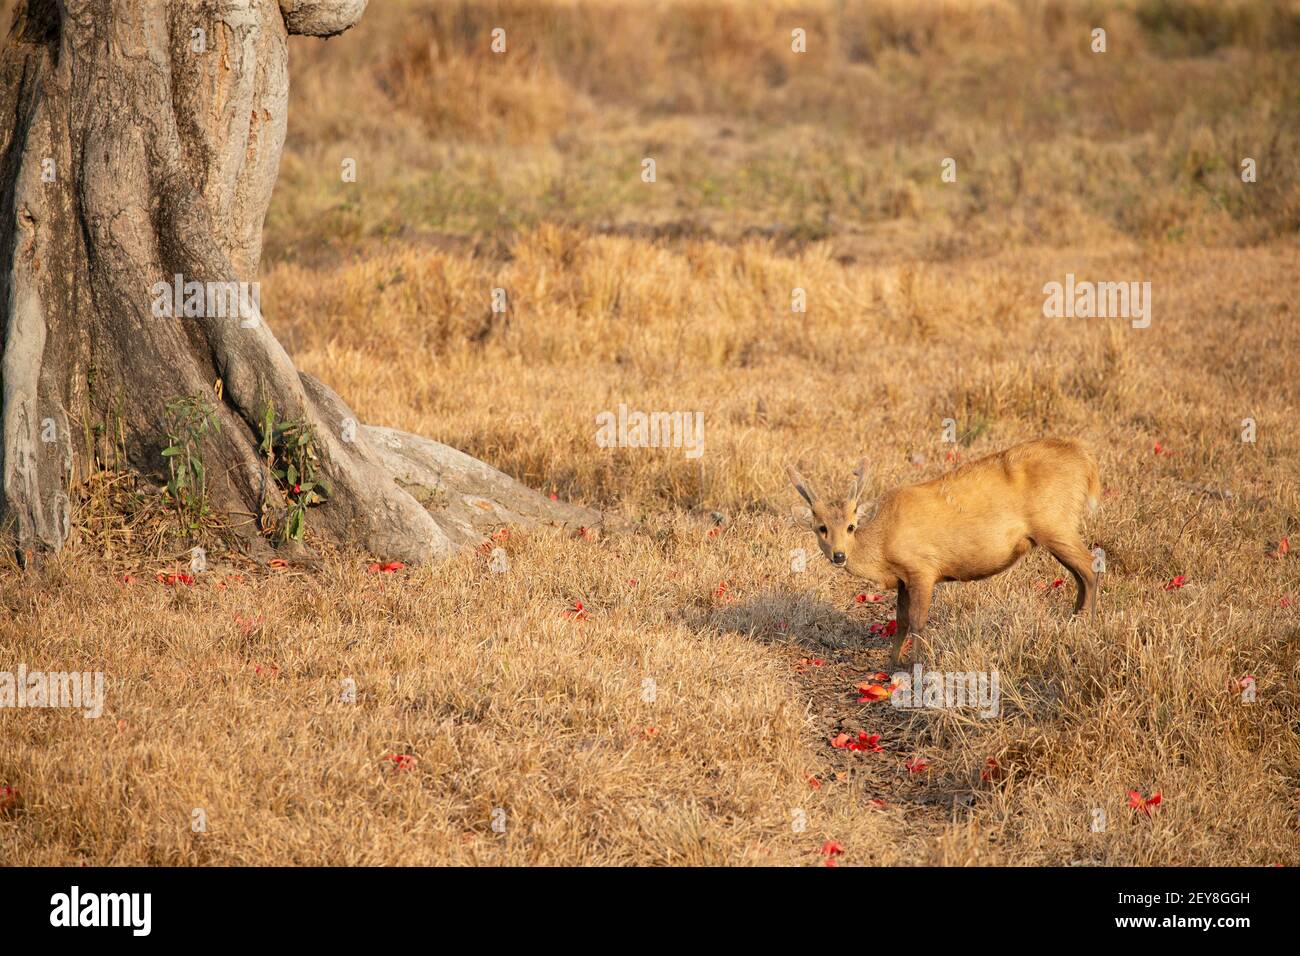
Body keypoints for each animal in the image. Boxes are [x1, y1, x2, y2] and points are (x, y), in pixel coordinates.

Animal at [785, 439, 1102, 665]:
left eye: (851, 527)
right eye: (821, 528)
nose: (839, 556)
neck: (883, 545)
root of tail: (1085, 459)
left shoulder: (922, 568)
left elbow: (917, 620)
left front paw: (915, 664)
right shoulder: (903, 579)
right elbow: (900, 620)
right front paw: (892, 663)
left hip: (1055, 522)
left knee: (1089, 566)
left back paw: (1085, 625)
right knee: (1080, 574)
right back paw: (1074, 620)